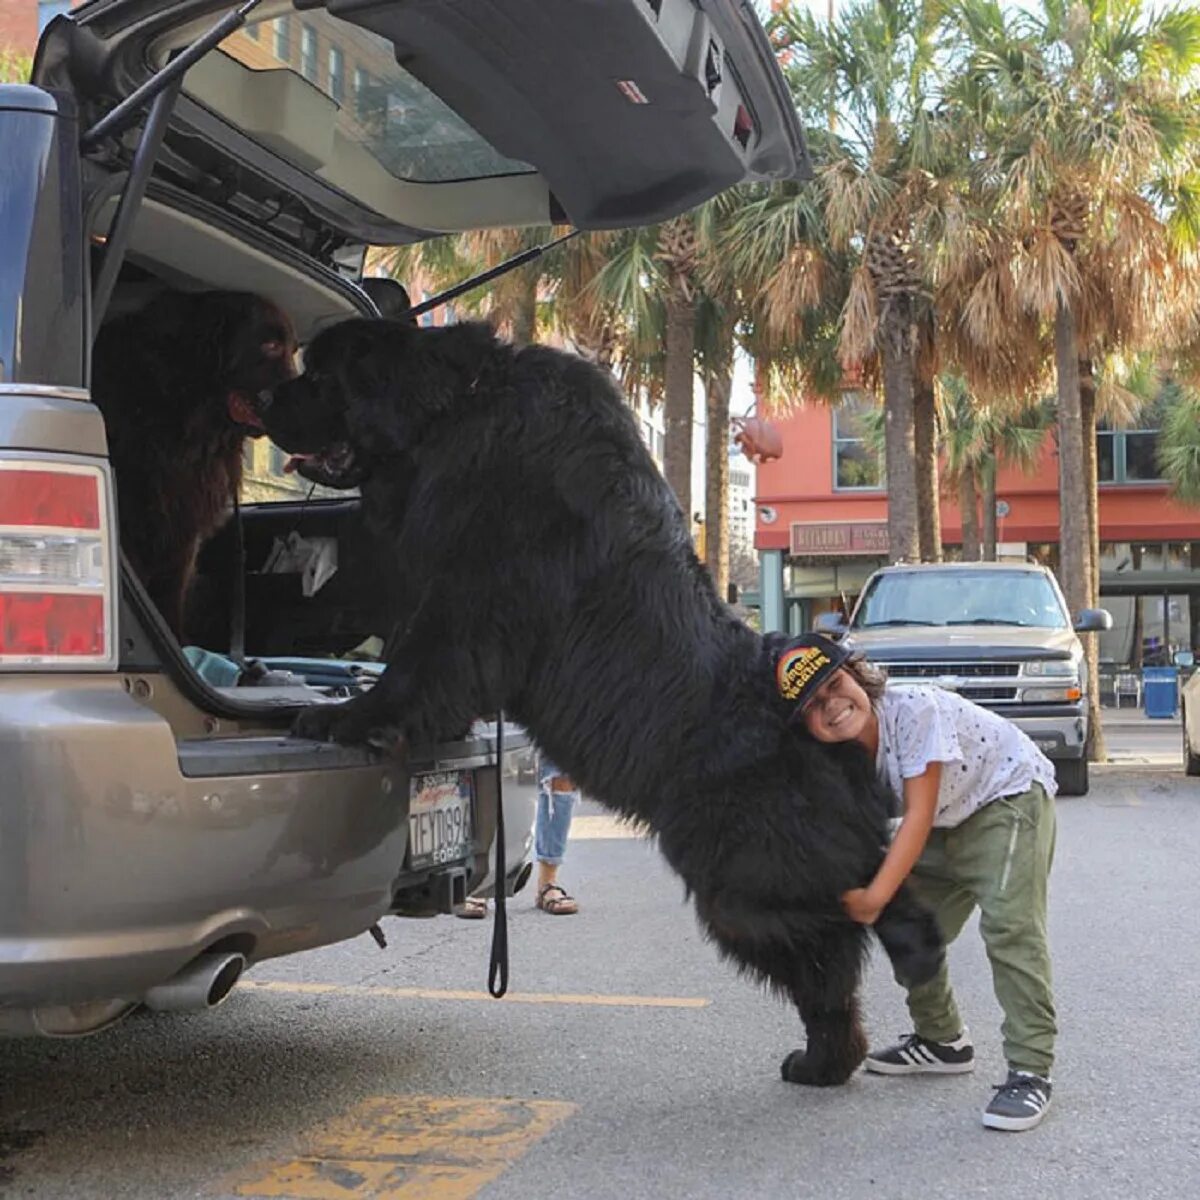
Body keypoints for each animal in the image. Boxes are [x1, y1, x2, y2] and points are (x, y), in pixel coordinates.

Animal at [258, 319, 940, 1089]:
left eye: (321, 375)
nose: (263, 394)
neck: (459, 407)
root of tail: (824, 732)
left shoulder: (469, 596)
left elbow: (414, 668)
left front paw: (346, 718)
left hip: (744, 878)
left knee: (836, 940)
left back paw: (835, 1045)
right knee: (852, 922)